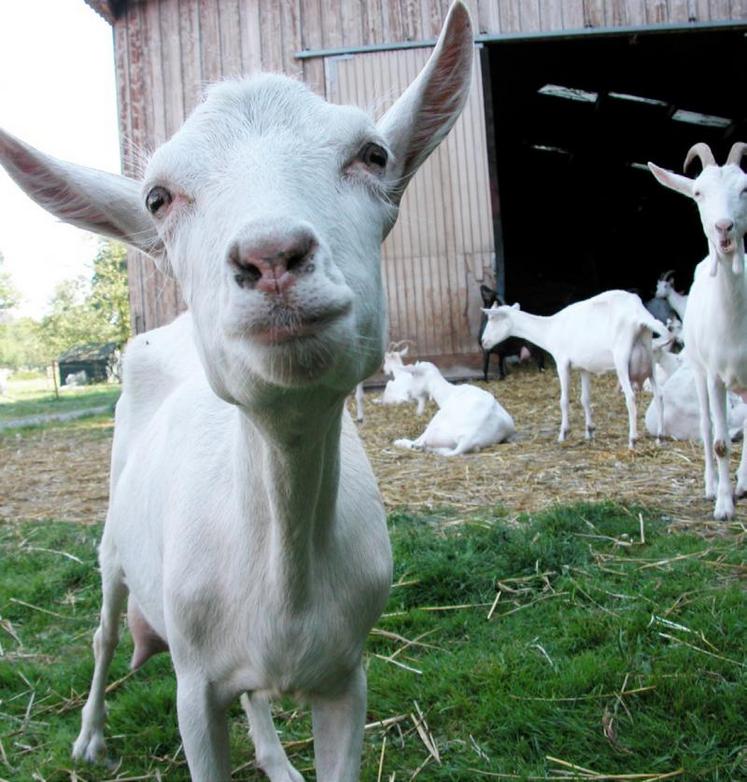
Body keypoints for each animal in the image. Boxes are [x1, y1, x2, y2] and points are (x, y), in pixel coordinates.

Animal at [0, 4, 476, 776]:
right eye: (157, 197)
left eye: (374, 156)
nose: (271, 257)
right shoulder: (192, 687)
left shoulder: (347, 679)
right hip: (112, 546)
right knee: (104, 634)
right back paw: (90, 737)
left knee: (253, 693)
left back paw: (276, 757)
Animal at [486, 292, 672, 450]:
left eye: (493, 318)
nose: (484, 342)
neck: (550, 329)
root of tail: (639, 315)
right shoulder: (584, 367)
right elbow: (585, 399)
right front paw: (589, 431)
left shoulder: (562, 362)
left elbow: (564, 400)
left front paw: (563, 434)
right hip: (650, 358)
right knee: (659, 395)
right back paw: (660, 438)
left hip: (622, 359)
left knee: (631, 397)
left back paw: (632, 440)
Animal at [648, 141, 747, 520]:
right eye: (698, 193)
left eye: (745, 188)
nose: (724, 228)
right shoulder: (717, 376)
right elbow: (719, 443)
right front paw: (723, 505)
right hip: (701, 372)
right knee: (707, 428)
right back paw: (712, 486)